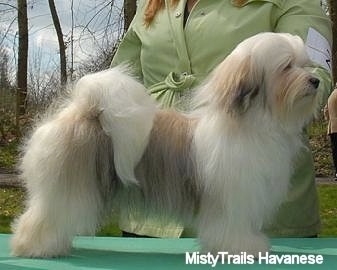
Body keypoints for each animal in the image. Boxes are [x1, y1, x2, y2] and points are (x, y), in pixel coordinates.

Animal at [11, 32, 318, 258]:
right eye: (287, 66)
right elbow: (233, 226)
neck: (253, 123)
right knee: (43, 216)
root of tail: (85, 109)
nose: (316, 80)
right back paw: (33, 248)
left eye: (306, 64)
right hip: (67, 185)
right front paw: (243, 248)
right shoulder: (234, 198)